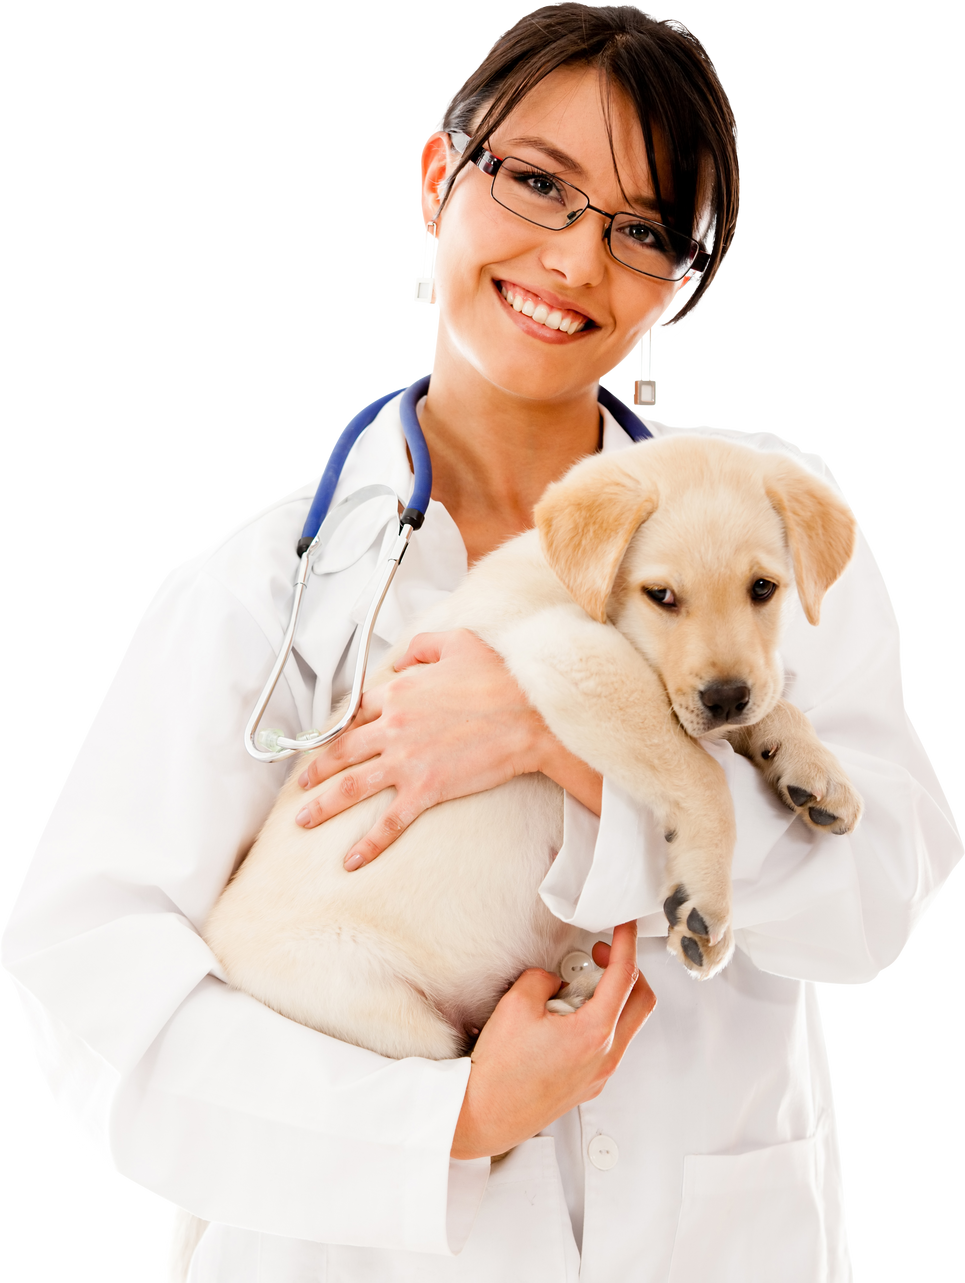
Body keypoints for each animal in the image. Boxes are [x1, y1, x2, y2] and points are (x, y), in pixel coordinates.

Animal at [204, 436, 857, 1057]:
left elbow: (770, 704)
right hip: (376, 1008)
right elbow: (701, 771)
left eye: (763, 588)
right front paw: (708, 905)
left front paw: (812, 769)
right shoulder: (568, 651)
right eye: (662, 596)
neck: (584, 586)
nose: (726, 699)